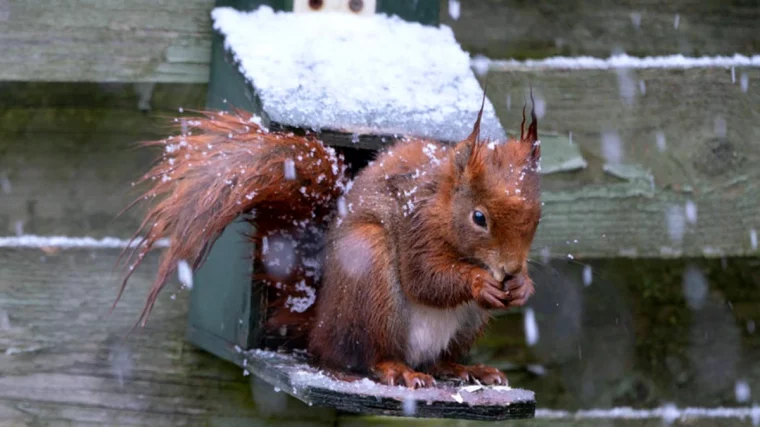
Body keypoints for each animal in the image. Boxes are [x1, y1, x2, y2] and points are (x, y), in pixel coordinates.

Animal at [116, 93, 540, 392]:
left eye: (537, 218)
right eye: (479, 218)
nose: (509, 270)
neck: (442, 204)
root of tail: (318, 325)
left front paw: (523, 287)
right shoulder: (416, 227)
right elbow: (424, 278)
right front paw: (479, 281)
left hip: (466, 324)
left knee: (436, 360)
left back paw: (465, 367)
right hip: (368, 272)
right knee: (364, 355)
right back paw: (397, 369)